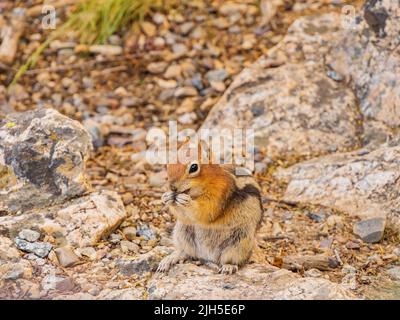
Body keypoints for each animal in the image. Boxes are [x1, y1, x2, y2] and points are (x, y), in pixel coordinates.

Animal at [158, 141, 264, 274]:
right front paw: (166, 197)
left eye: (194, 167)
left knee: (233, 260)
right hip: (183, 233)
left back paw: (228, 267)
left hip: (239, 243)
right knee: (186, 253)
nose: (172, 187)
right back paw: (168, 260)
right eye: (169, 164)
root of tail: (207, 256)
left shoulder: (219, 193)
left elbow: (206, 211)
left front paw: (186, 201)